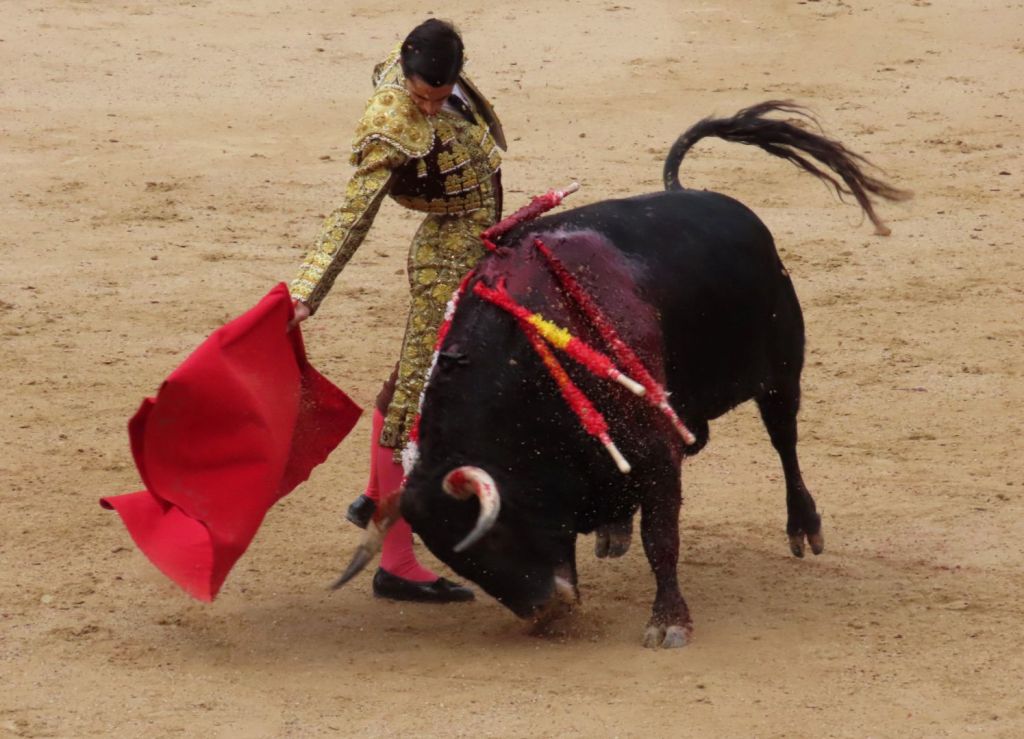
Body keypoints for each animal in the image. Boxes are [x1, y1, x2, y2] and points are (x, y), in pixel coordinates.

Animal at [335, 101, 909, 648]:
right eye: (458, 559)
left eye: (493, 536)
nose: (549, 611)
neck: (523, 366)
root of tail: (694, 193)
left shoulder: (655, 449)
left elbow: (662, 538)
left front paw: (669, 623)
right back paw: (614, 530)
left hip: (782, 369)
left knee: (784, 440)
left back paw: (804, 528)